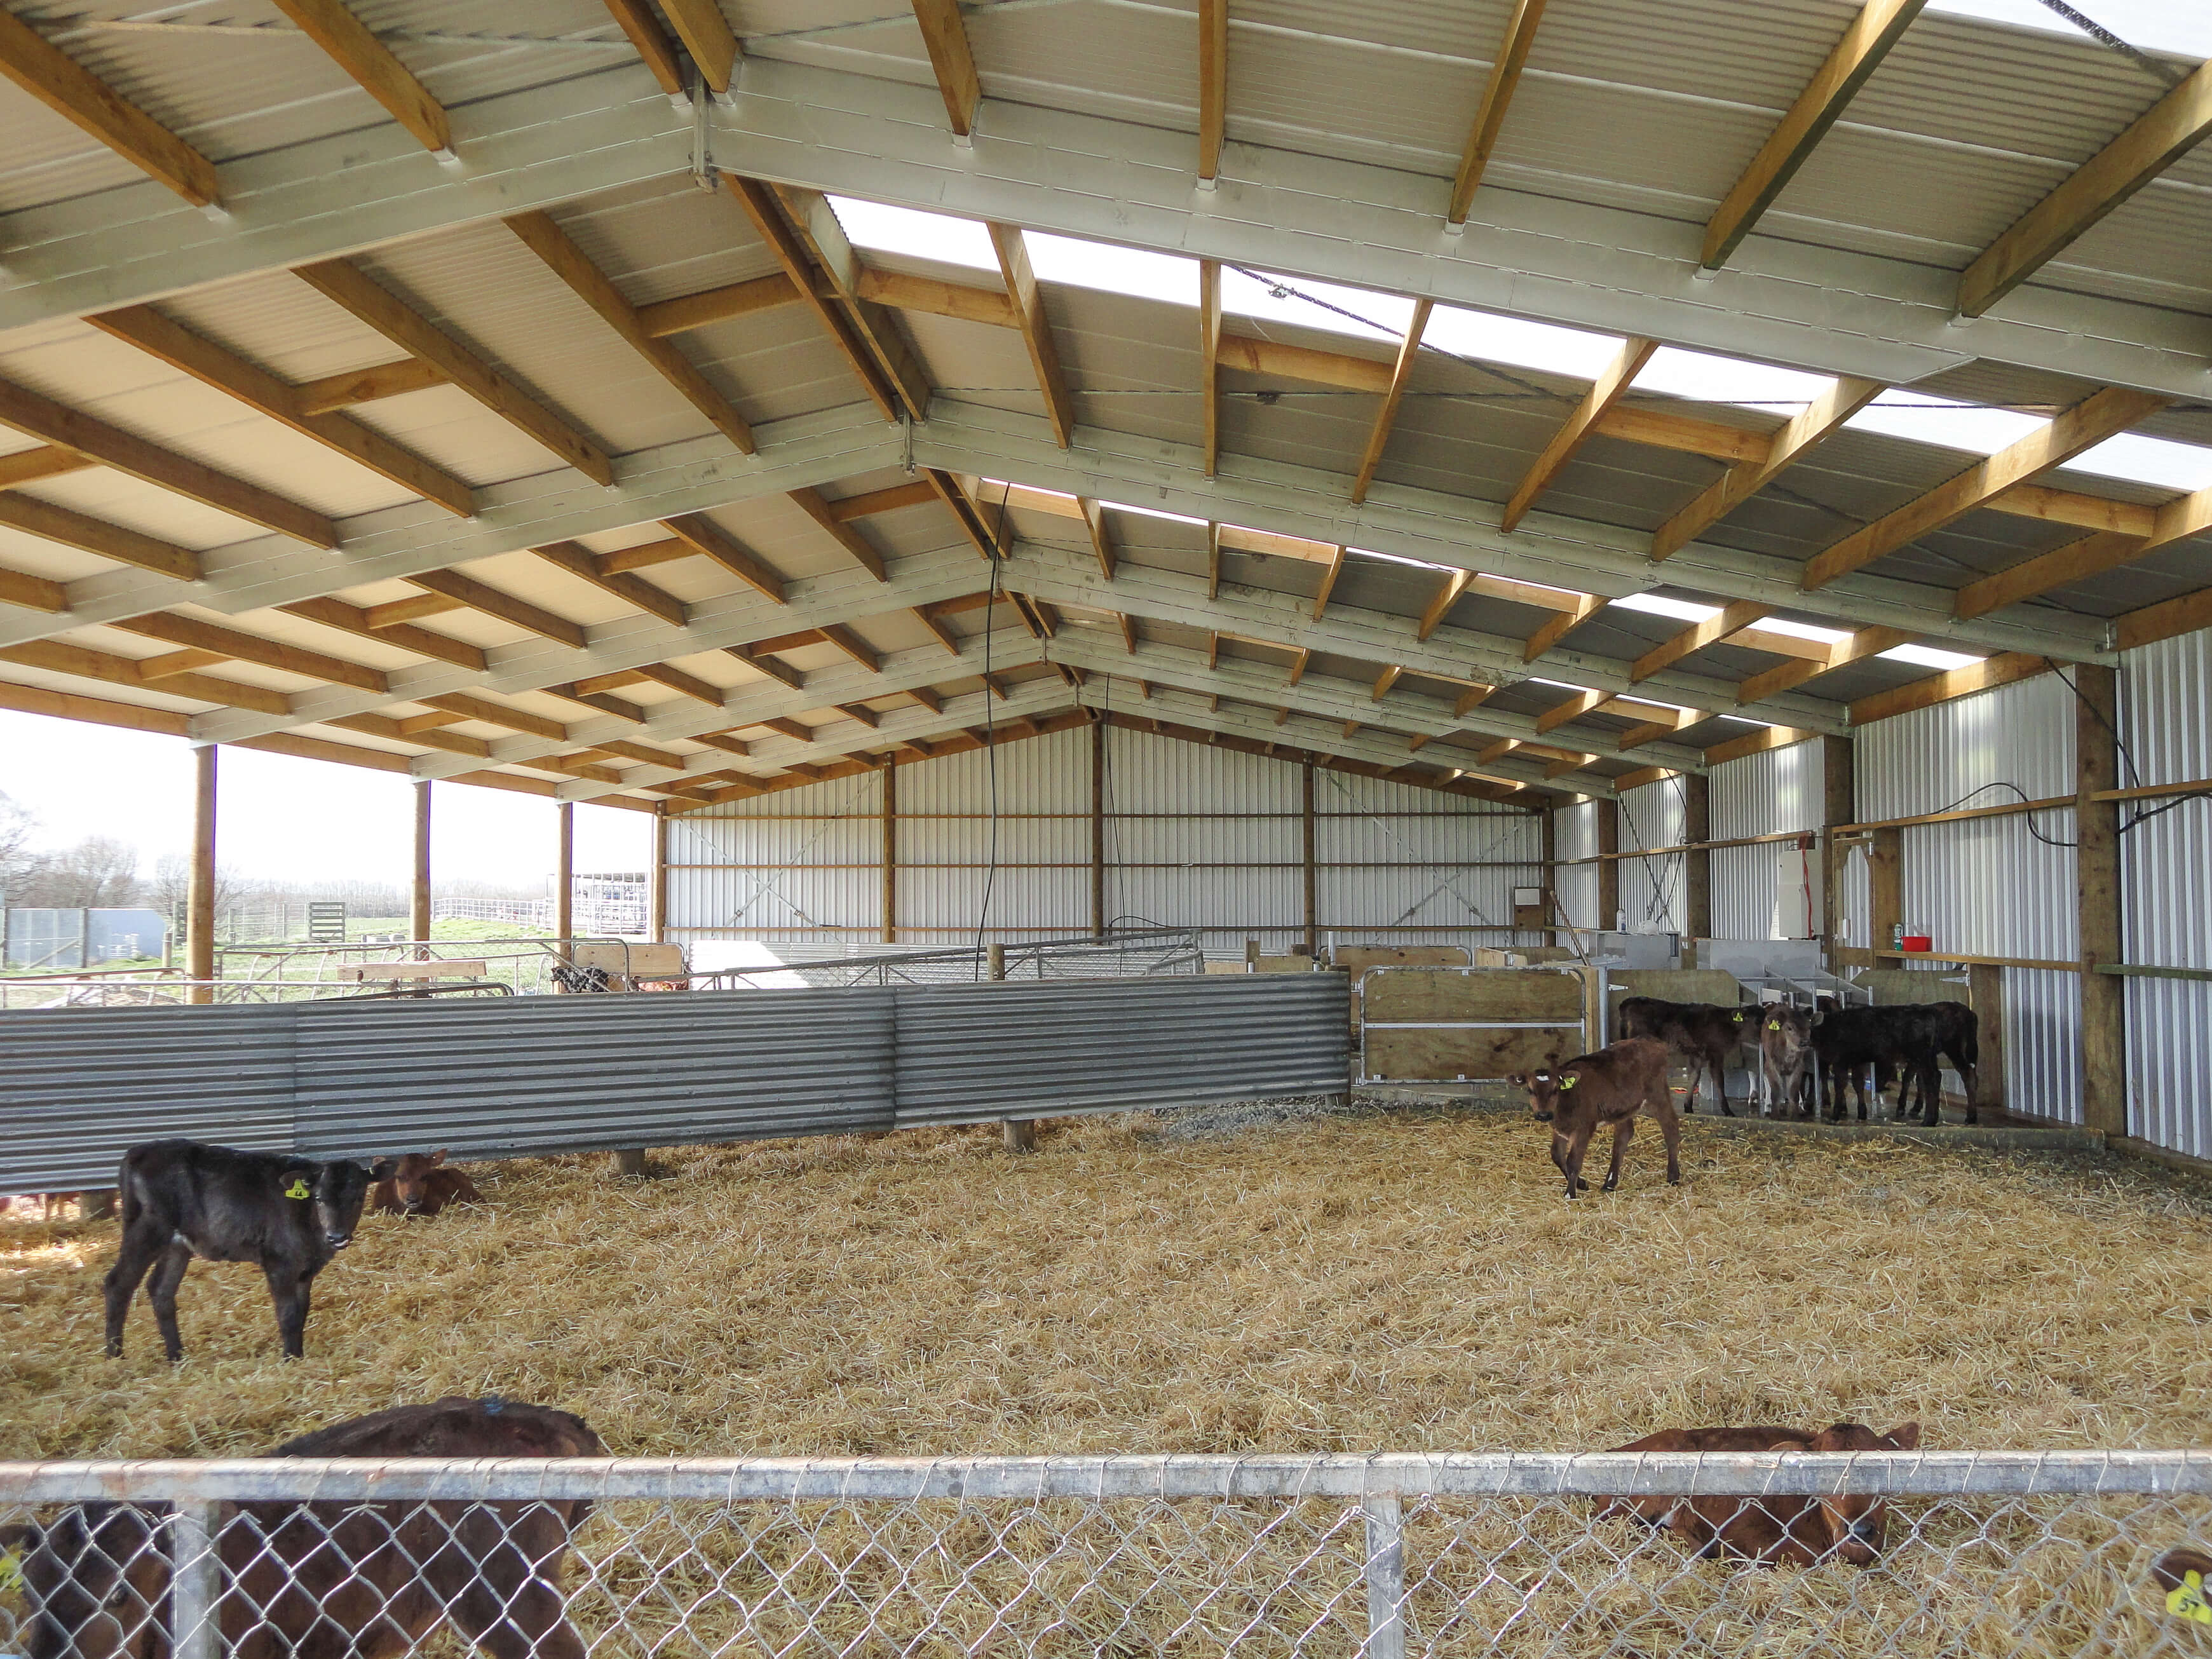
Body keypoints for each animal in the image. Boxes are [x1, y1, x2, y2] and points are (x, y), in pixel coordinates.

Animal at [1513, 1044, 1681, 1203]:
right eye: (1530, 1090)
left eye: (1555, 1089)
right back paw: (1609, 1183)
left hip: (1657, 1093)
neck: (1568, 1100)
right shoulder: (1560, 1129)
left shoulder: (1584, 1129)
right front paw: (1581, 1184)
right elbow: (1557, 1155)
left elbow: (1573, 1161)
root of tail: (1653, 1044)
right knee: (1624, 1135)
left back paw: (1673, 1176)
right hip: (1624, 1108)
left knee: (1671, 1127)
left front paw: (1570, 1194)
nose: (1543, 1115)